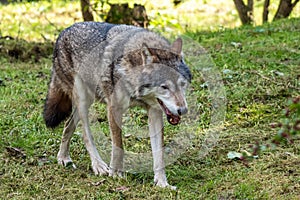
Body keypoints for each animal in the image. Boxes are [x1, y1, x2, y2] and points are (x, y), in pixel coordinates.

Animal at [42, 21, 192, 189]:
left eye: (182, 84)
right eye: (164, 87)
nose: (183, 110)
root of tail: (63, 32)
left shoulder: (155, 112)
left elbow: (159, 152)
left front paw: (162, 182)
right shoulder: (114, 109)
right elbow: (118, 145)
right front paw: (116, 174)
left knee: (68, 126)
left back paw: (63, 158)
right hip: (83, 100)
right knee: (86, 135)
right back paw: (98, 165)